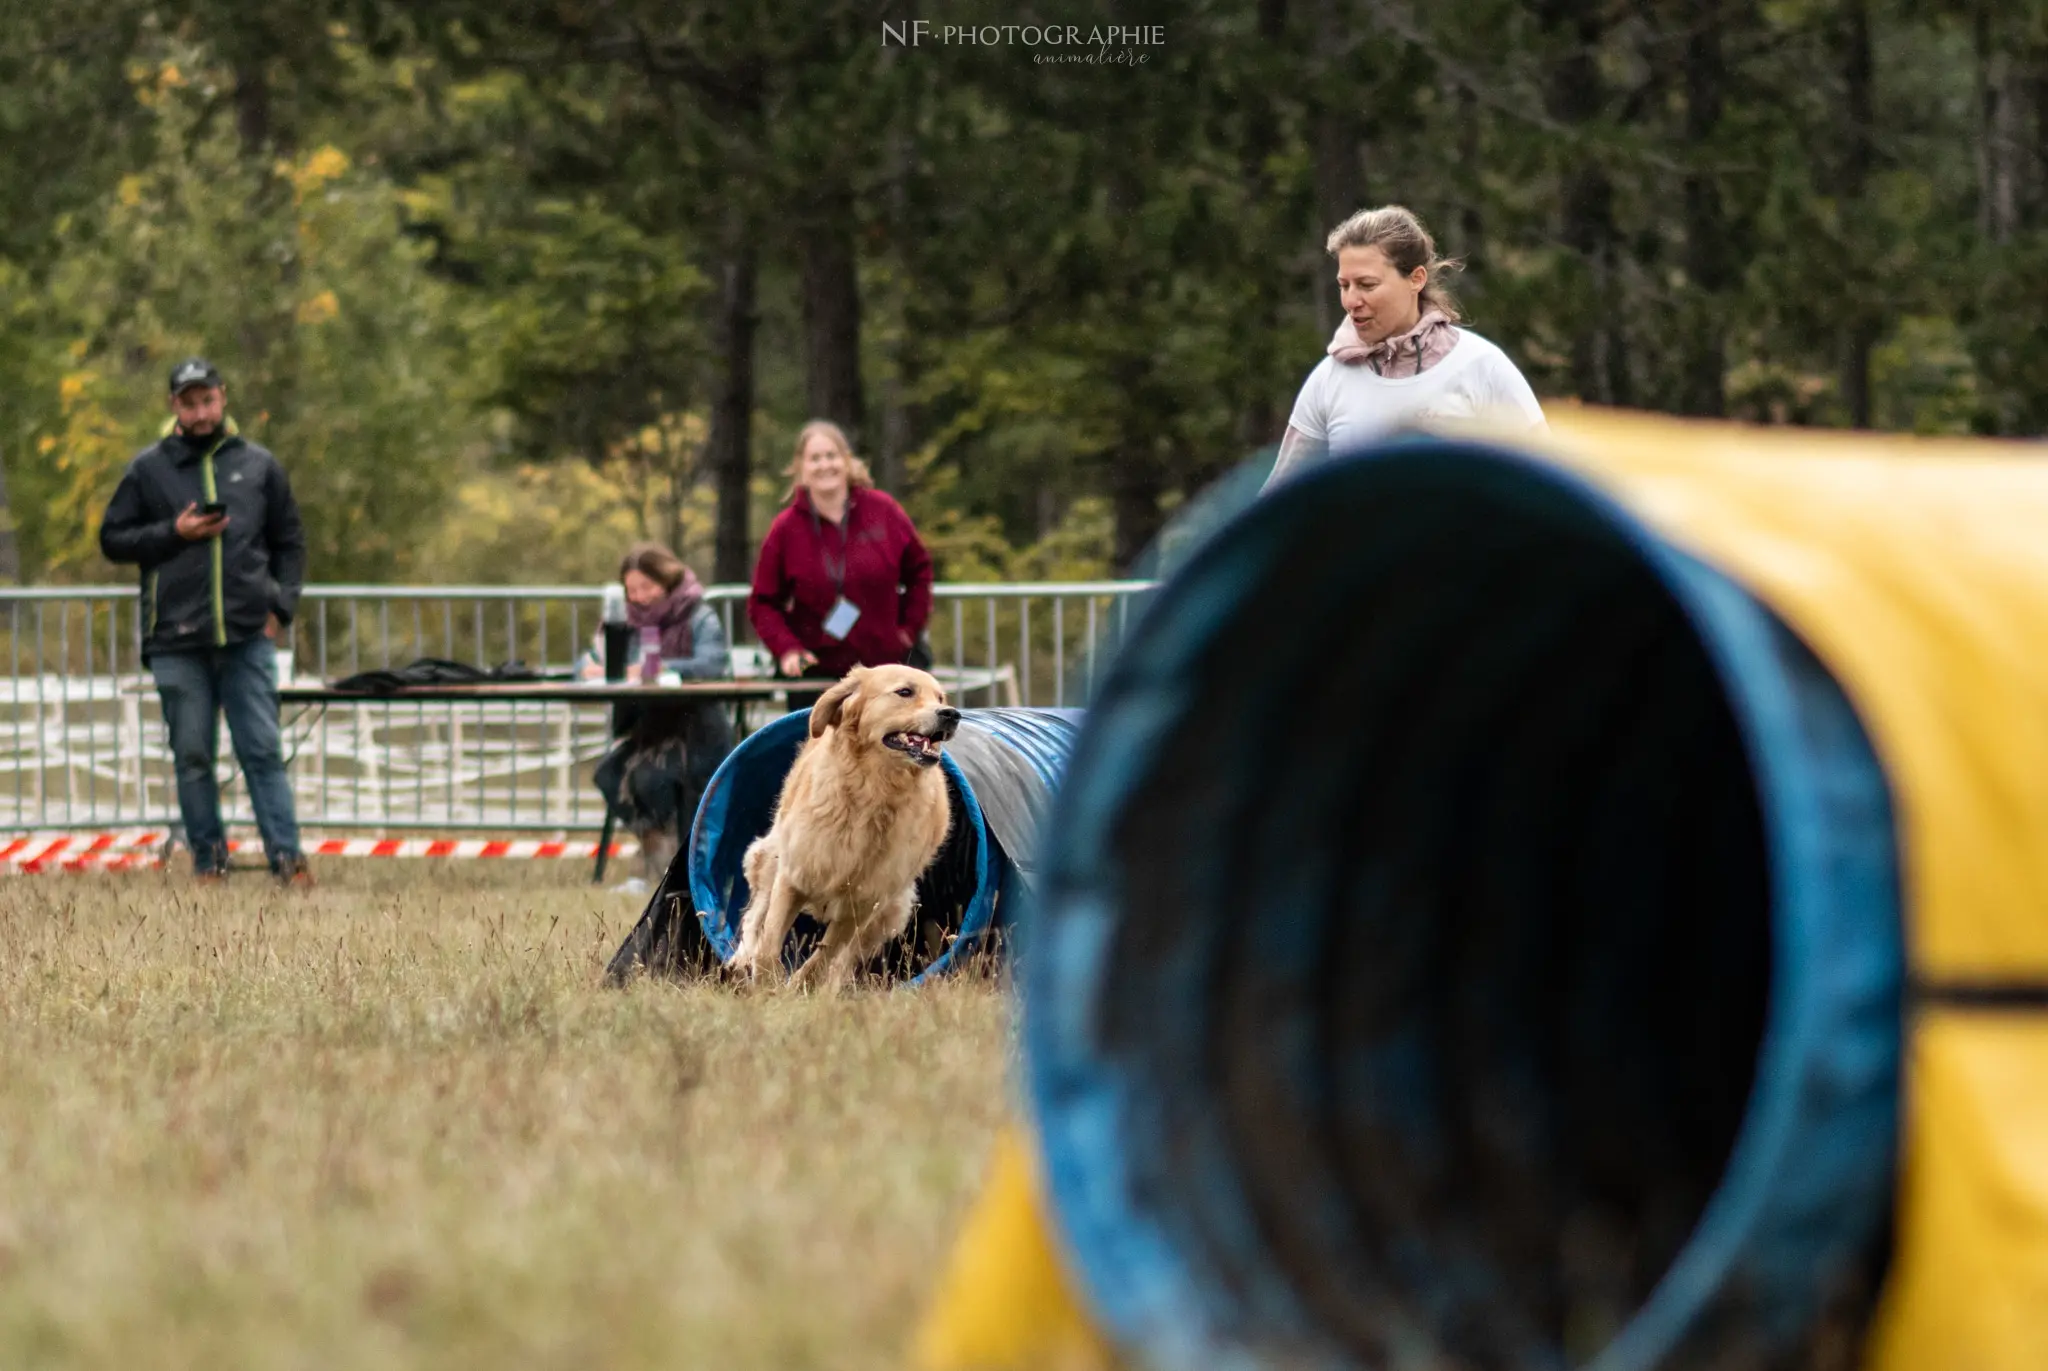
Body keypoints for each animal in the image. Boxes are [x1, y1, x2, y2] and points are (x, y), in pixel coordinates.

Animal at [733, 659, 962, 987]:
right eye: (905, 692)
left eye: (940, 697)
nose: (952, 714)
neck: (873, 793)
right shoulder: (793, 875)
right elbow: (768, 943)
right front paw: (767, 983)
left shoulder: (863, 903)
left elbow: (823, 958)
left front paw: (798, 987)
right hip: (771, 857)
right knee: (755, 915)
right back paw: (738, 962)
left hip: (891, 909)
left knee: (844, 960)